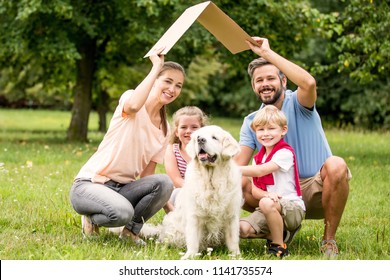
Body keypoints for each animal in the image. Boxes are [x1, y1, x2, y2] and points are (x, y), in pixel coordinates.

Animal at [153, 126, 242, 260]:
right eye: (198, 136)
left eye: (214, 137)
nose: (201, 140)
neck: (211, 182)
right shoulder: (194, 215)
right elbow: (193, 240)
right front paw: (189, 256)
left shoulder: (231, 216)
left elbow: (233, 240)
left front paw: (236, 256)